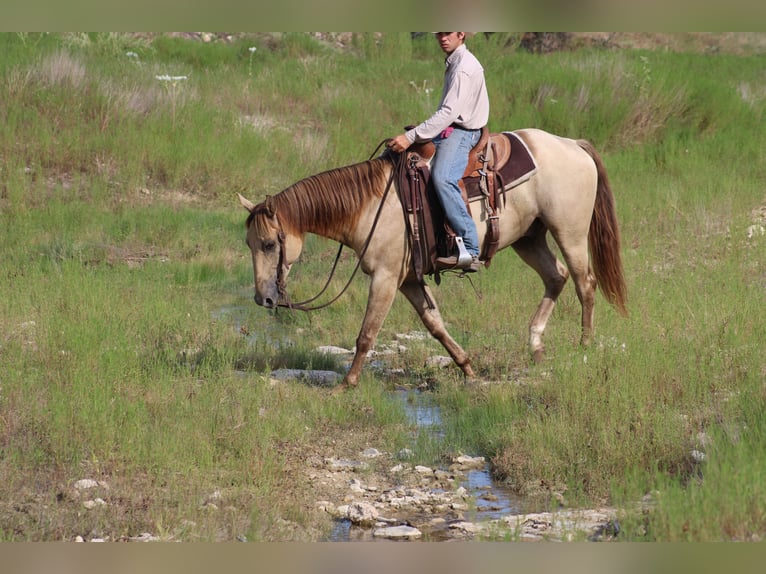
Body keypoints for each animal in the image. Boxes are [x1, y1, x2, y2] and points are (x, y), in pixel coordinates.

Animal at [238, 128, 628, 389]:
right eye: (249, 243)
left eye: (269, 244)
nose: (263, 298)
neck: (371, 204)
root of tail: (572, 144)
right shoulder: (409, 279)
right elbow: (435, 325)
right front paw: (467, 367)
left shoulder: (385, 277)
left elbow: (367, 333)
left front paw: (346, 384)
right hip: (529, 238)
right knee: (556, 277)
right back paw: (536, 346)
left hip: (569, 232)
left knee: (584, 283)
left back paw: (584, 347)